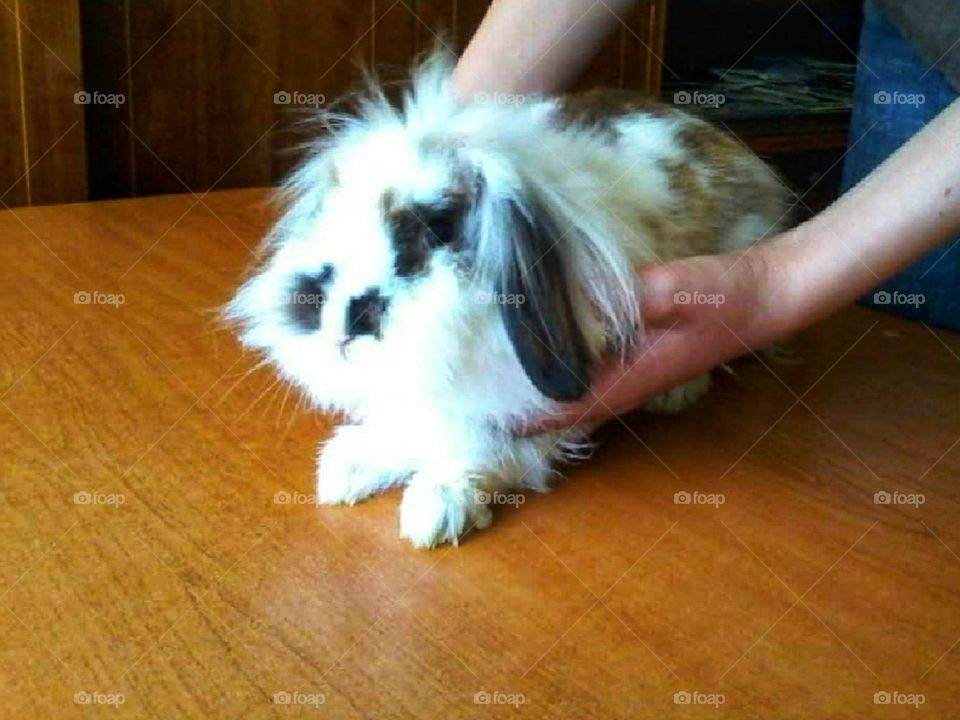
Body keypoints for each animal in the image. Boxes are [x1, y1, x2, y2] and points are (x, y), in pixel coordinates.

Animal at [227, 50, 788, 548]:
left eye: (438, 227)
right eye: (330, 213)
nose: (345, 320)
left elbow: (480, 446)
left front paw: (435, 510)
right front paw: (348, 468)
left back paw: (677, 392)